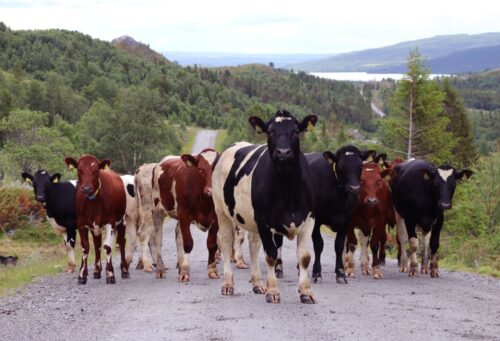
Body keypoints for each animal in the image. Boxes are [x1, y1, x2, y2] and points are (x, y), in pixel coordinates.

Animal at [64, 155, 129, 284]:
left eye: (96, 171)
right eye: (79, 170)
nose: (86, 188)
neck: (93, 202)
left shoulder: (110, 223)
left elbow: (108, 247)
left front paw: (110, 274)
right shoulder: (82, 224)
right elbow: (85, 248)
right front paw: (82, 275)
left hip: (122, 221)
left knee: (121, 242)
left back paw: (124, 270)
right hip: (96, 227)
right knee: (97, 244)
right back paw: (96, 271)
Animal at [149, 148, 218, 278]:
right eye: (201, 169)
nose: (210, 191)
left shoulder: (217, 218)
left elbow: (211, 244)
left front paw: (212, 271)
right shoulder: (184, 214)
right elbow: (188, 243)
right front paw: (185, 273)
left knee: (178, 236)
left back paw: (180, 266)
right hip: (157, 211)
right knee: (157, 239)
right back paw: (160, 269)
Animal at [213, 109, 318, 302]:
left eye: (295, 131)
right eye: (270, 132)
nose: (283, 152)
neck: (288, 191)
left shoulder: (309, 219)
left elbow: (305, 257)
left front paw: (306, 292)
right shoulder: (264, 221)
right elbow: (271, 255)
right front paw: (273, 291)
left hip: (252, 219)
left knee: (253, 246)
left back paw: (257, 283)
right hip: (221, 211)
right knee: (225, 242)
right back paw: (228, 284)